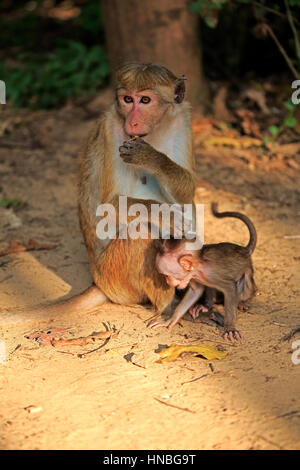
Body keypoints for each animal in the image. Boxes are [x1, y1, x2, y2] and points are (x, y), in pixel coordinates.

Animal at [0, 64, 195, 324]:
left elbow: (187, 194)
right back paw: (166, 307)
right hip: (113, 276)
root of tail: (98, 283)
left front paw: (152, 158)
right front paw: (168, 215)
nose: (132, 123)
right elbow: (110, 206)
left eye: (145, 100)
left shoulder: (181, 119)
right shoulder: (111, 129)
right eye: (127, 99)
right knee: (141, 231)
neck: (153, 132)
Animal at [149, 203, 256, 342]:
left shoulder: (213, 276)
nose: (168, 281)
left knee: (246, 283)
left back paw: (243, 302)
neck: (198, 268)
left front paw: (230, 328)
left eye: (167, 275)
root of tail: (244, 250)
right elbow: (196, 291)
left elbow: (230, 288)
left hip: (247, 269)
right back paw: (206, 306)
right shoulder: (193, 277)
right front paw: (171, 320)